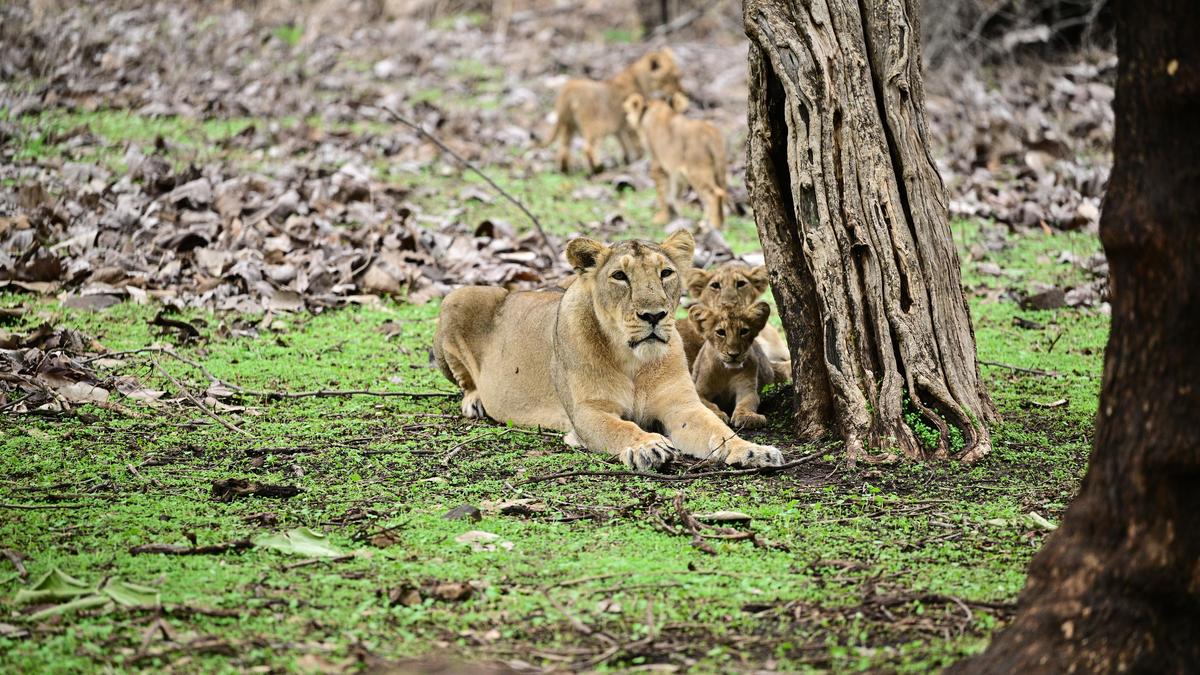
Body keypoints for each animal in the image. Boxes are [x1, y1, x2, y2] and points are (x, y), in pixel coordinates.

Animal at [433, 230, 784, 471]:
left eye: (665, 273)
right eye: (619, 276)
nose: (654, 315)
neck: (633, 361)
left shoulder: (681, 406)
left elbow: (717, 430)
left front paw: (752, 450)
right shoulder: (588, 412)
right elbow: (621, 427)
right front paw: (647, 446)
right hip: (458, 298)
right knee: (464, 380)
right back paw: (475, 401)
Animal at [549, 49, 683, 174]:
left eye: (678, 76)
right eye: (673, 77)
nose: (681, 91)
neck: (639, 79)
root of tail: (569, 89)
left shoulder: (619, 126)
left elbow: (623, 141)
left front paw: (627, 159)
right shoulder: (630, 122)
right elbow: (636, 141)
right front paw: (639, 157)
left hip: (568, 125)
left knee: (563, 149)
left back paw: (565, 170)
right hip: (594, 126)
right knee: (588, 148)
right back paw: (597, 168)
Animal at [623, 92, 728, 229]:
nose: (627, 117)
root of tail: (710, 131)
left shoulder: (657, 163)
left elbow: (662, 191)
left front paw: (662, 218)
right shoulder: (674, 168)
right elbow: (675, 190)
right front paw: (680, 212)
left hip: (696, 170)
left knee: (715, 194)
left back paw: (713, 225)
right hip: (717, 169)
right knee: (721, 191)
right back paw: (712, 222)